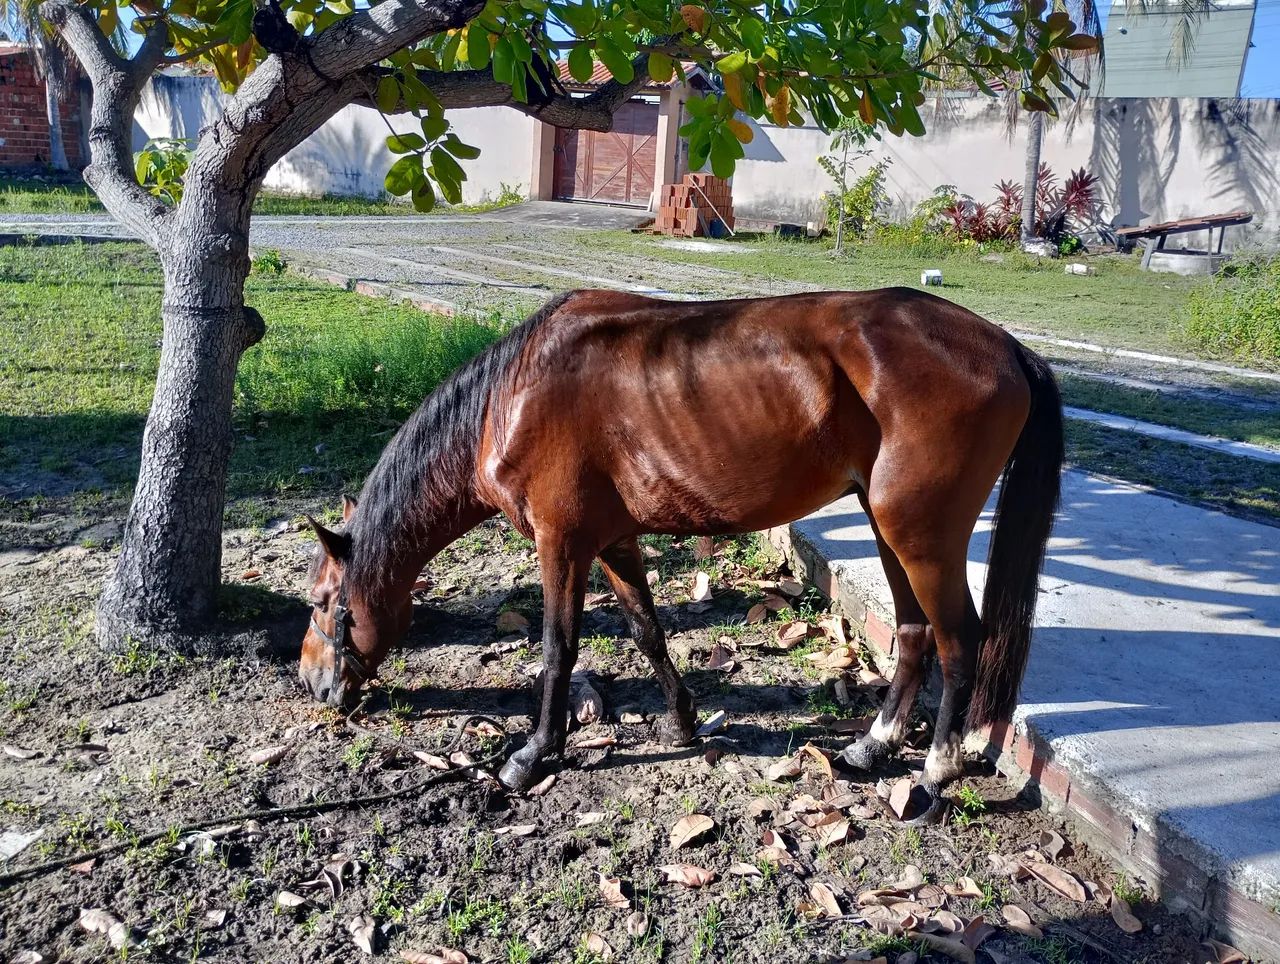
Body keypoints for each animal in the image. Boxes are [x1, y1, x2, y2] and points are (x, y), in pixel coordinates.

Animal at [300, 288, 1063, 814]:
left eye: (325, 604)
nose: (313, 685)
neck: (512, 394)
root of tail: (1005, 346)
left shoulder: (561, 543)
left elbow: (558, 647)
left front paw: (535, 754)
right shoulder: (612, 540)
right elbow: (647, 630)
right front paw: (684, 721)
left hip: (921, 535)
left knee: (959, 641)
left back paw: (934, 774)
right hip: (888, 529)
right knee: (912, 632)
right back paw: (872, 746)